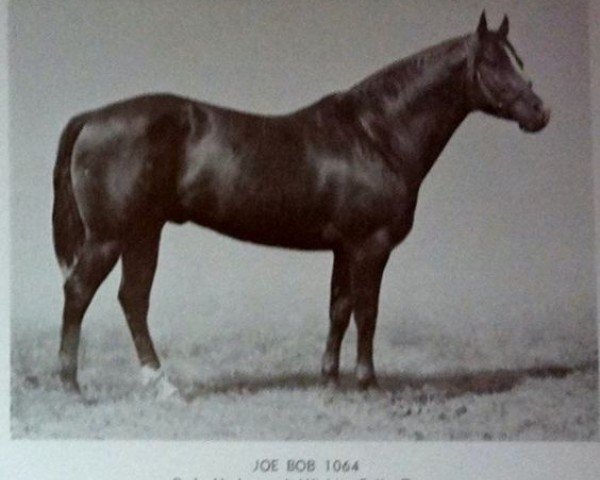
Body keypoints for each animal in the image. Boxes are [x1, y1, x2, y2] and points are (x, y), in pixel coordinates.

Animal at [51, 11, 548, 396]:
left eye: (519, 59)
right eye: (492, 62)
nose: (540, 112)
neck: (375, 134)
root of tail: (92, 118)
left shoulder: (345, 248)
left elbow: (339, 309)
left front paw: (330, 381)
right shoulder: (371, 245)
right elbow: (367, 312)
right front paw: (368, 383)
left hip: (143, 233)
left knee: (133, 299)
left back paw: (162, 386)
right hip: (110, 237)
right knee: (79, 292)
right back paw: (72, 384)